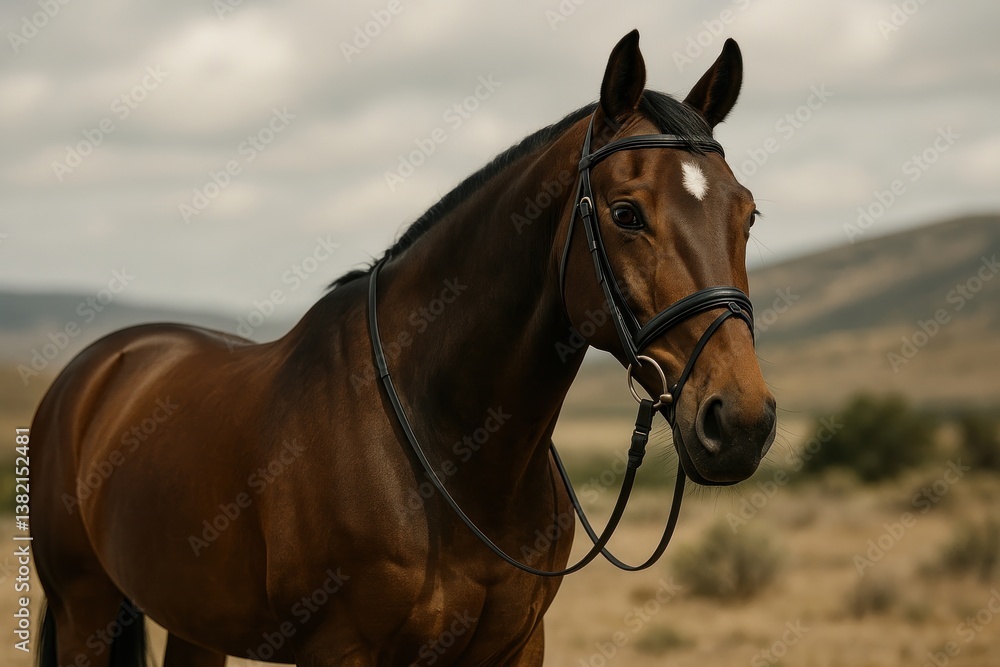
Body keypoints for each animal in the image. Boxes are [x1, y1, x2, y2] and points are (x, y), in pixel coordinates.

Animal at [31, 30, 776, 666]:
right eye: (626, 213)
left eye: (748, 214)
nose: (740, 421)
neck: (447, 447)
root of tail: (94, 372)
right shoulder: (341, 650)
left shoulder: (516, 645)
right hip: (84, 609)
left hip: (193, 621)